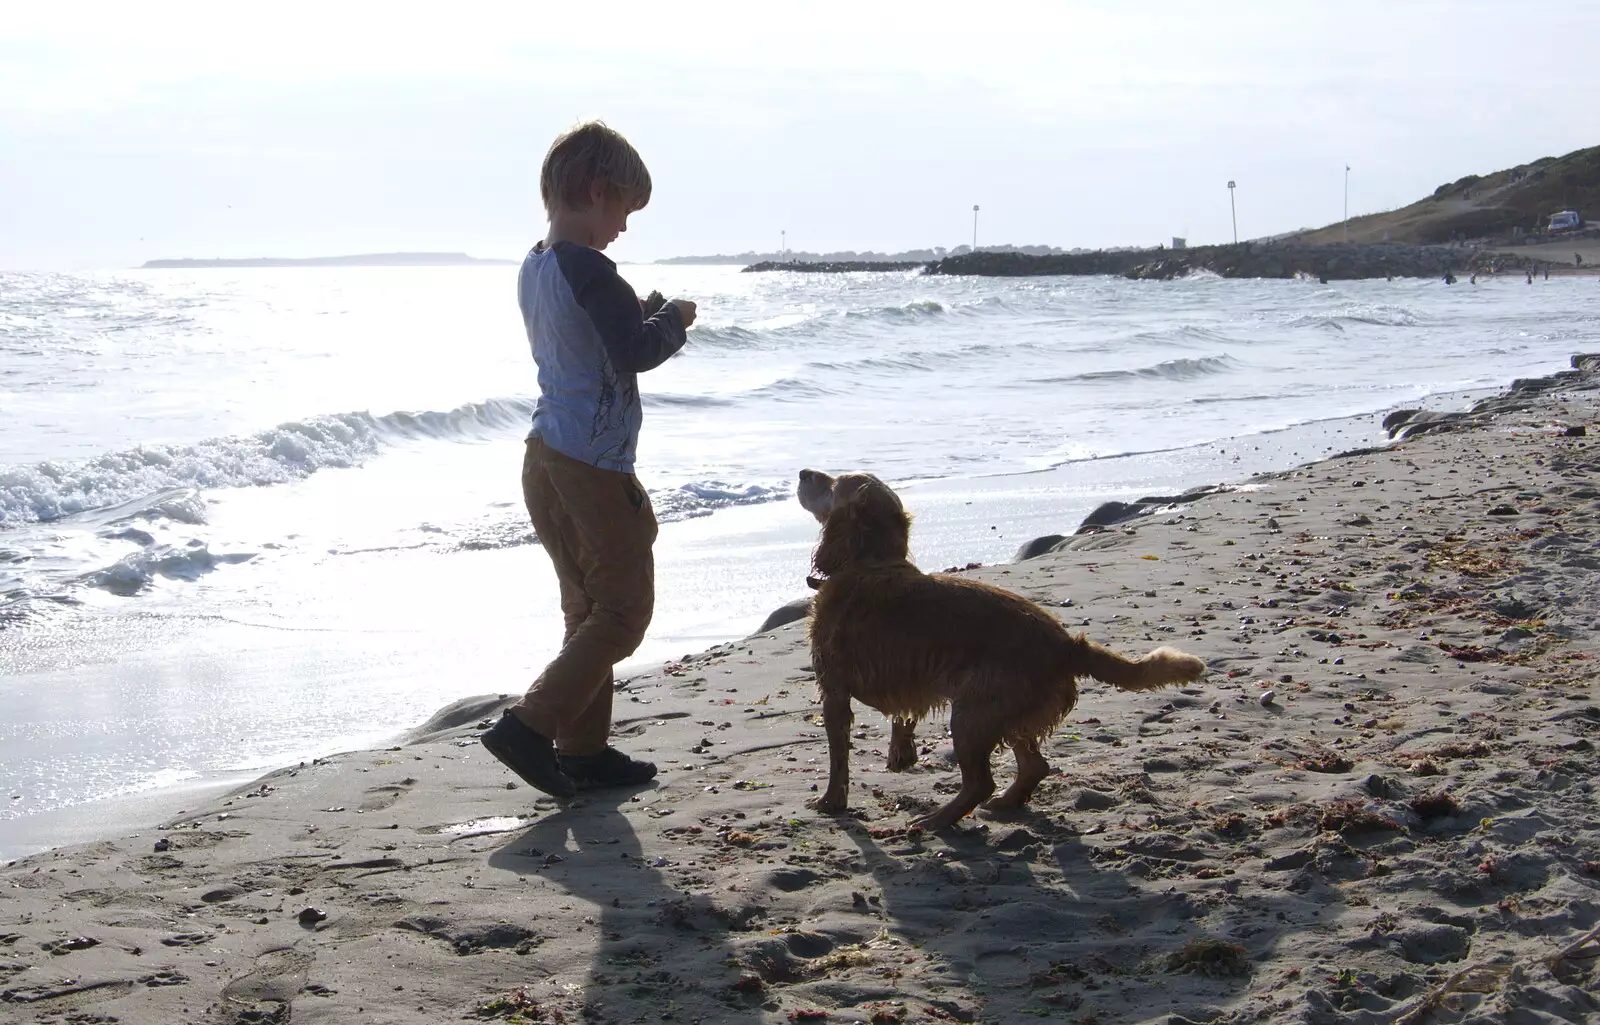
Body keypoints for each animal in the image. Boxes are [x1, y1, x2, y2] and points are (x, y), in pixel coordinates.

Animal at [793, 466, 1203, 825]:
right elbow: (903, 716)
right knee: (1034, 766)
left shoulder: (833, 689)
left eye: (832, 483)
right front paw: (900, 754)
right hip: (1005, 713)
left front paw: (831, 801)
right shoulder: (909, 677)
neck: (869, 561)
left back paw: (936, 821)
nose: (802, 472)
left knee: (980, 783)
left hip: (973, 714)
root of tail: (1067, 645)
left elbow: (838, 758)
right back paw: (1006, 803)